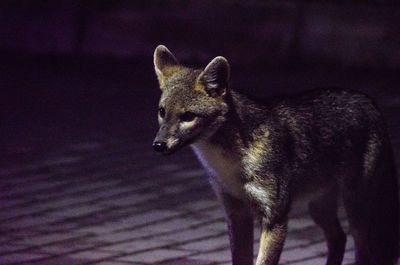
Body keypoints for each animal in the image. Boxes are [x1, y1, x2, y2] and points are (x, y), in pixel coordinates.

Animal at [152, 45, 398, 264]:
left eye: (188, 116)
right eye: (162, 112)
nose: (158, 145)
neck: (231, 163)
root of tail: (371, 102)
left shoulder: (275, 218)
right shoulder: (236, 215)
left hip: (355, 210)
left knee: (363, 251)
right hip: (319, 208)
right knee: (339, 239)